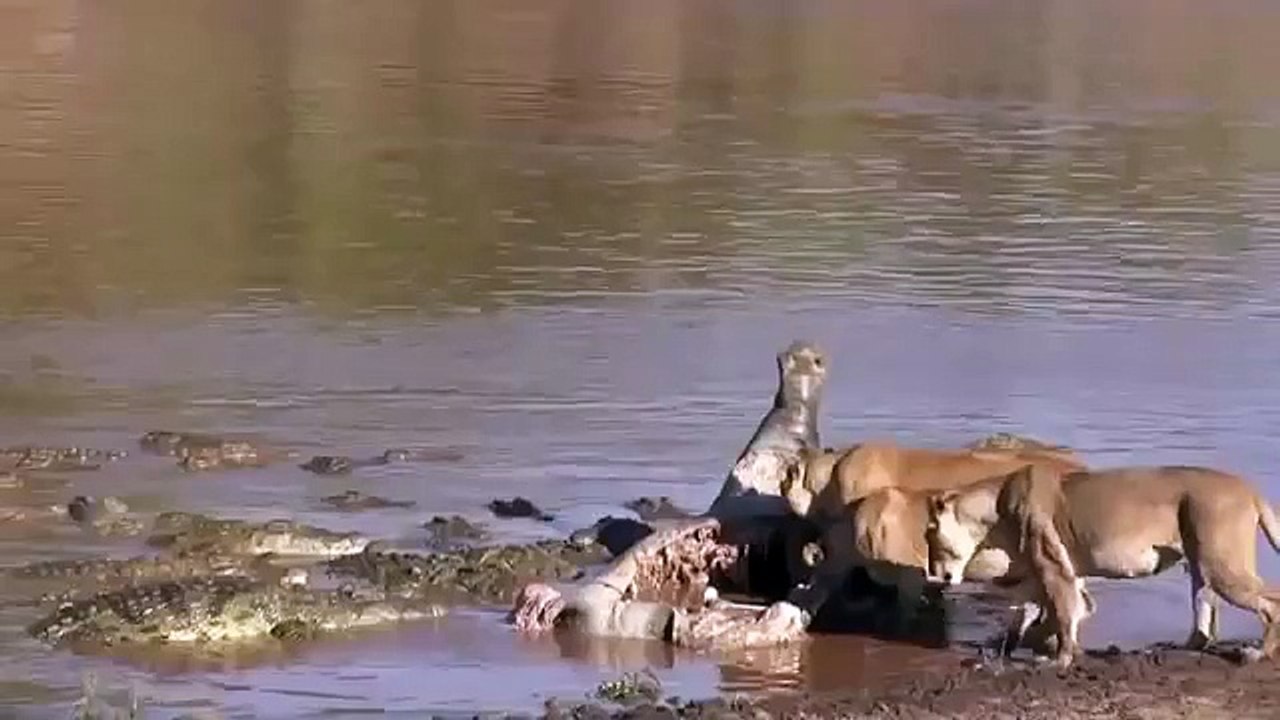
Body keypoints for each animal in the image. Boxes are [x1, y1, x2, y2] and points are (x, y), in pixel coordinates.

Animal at [927, 463, 1280, 666]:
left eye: (929, 534)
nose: (932, 574)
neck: (991, 509)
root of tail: (1247, 486)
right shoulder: (1040, 575)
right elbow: (1029, 615)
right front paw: (1011, 645)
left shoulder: (1055, 570)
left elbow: (1064, 613)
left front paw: (1061, 659)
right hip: (1201, 568)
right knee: (1205, 620)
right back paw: (1178, 647)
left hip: (1220, 565)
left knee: (1271, 603)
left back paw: (1258, 654)